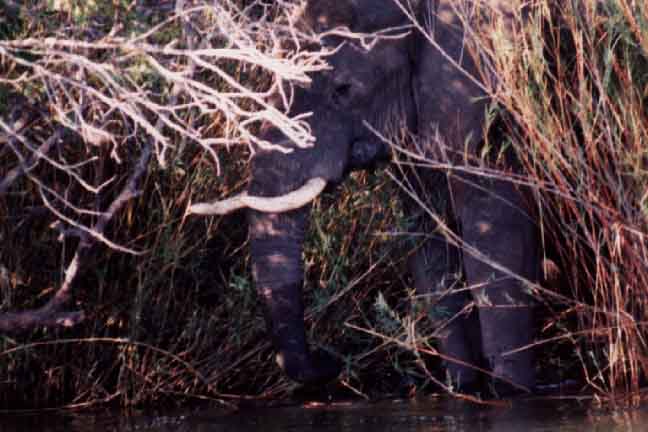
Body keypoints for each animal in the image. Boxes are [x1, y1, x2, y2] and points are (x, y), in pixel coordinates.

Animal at [191, 0, 540, 394]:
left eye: (343, 90)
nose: (330, 362)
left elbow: (497, 235)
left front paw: (511, 392)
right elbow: (429, 248)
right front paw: (462, 388)